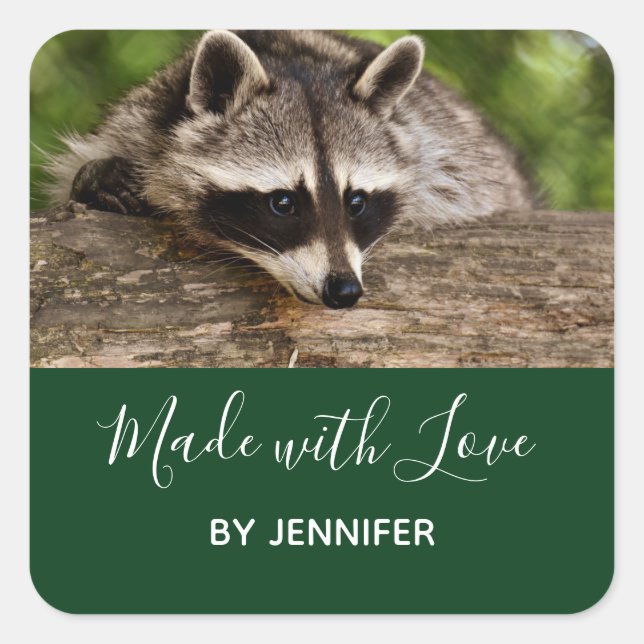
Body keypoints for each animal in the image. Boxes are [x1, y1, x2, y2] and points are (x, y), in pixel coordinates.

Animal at [46, 30, 534, 309]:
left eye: (356, 202)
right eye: (283, 202)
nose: (344, 292)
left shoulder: (444, 152)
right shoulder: (139, 120)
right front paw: (96, 179)